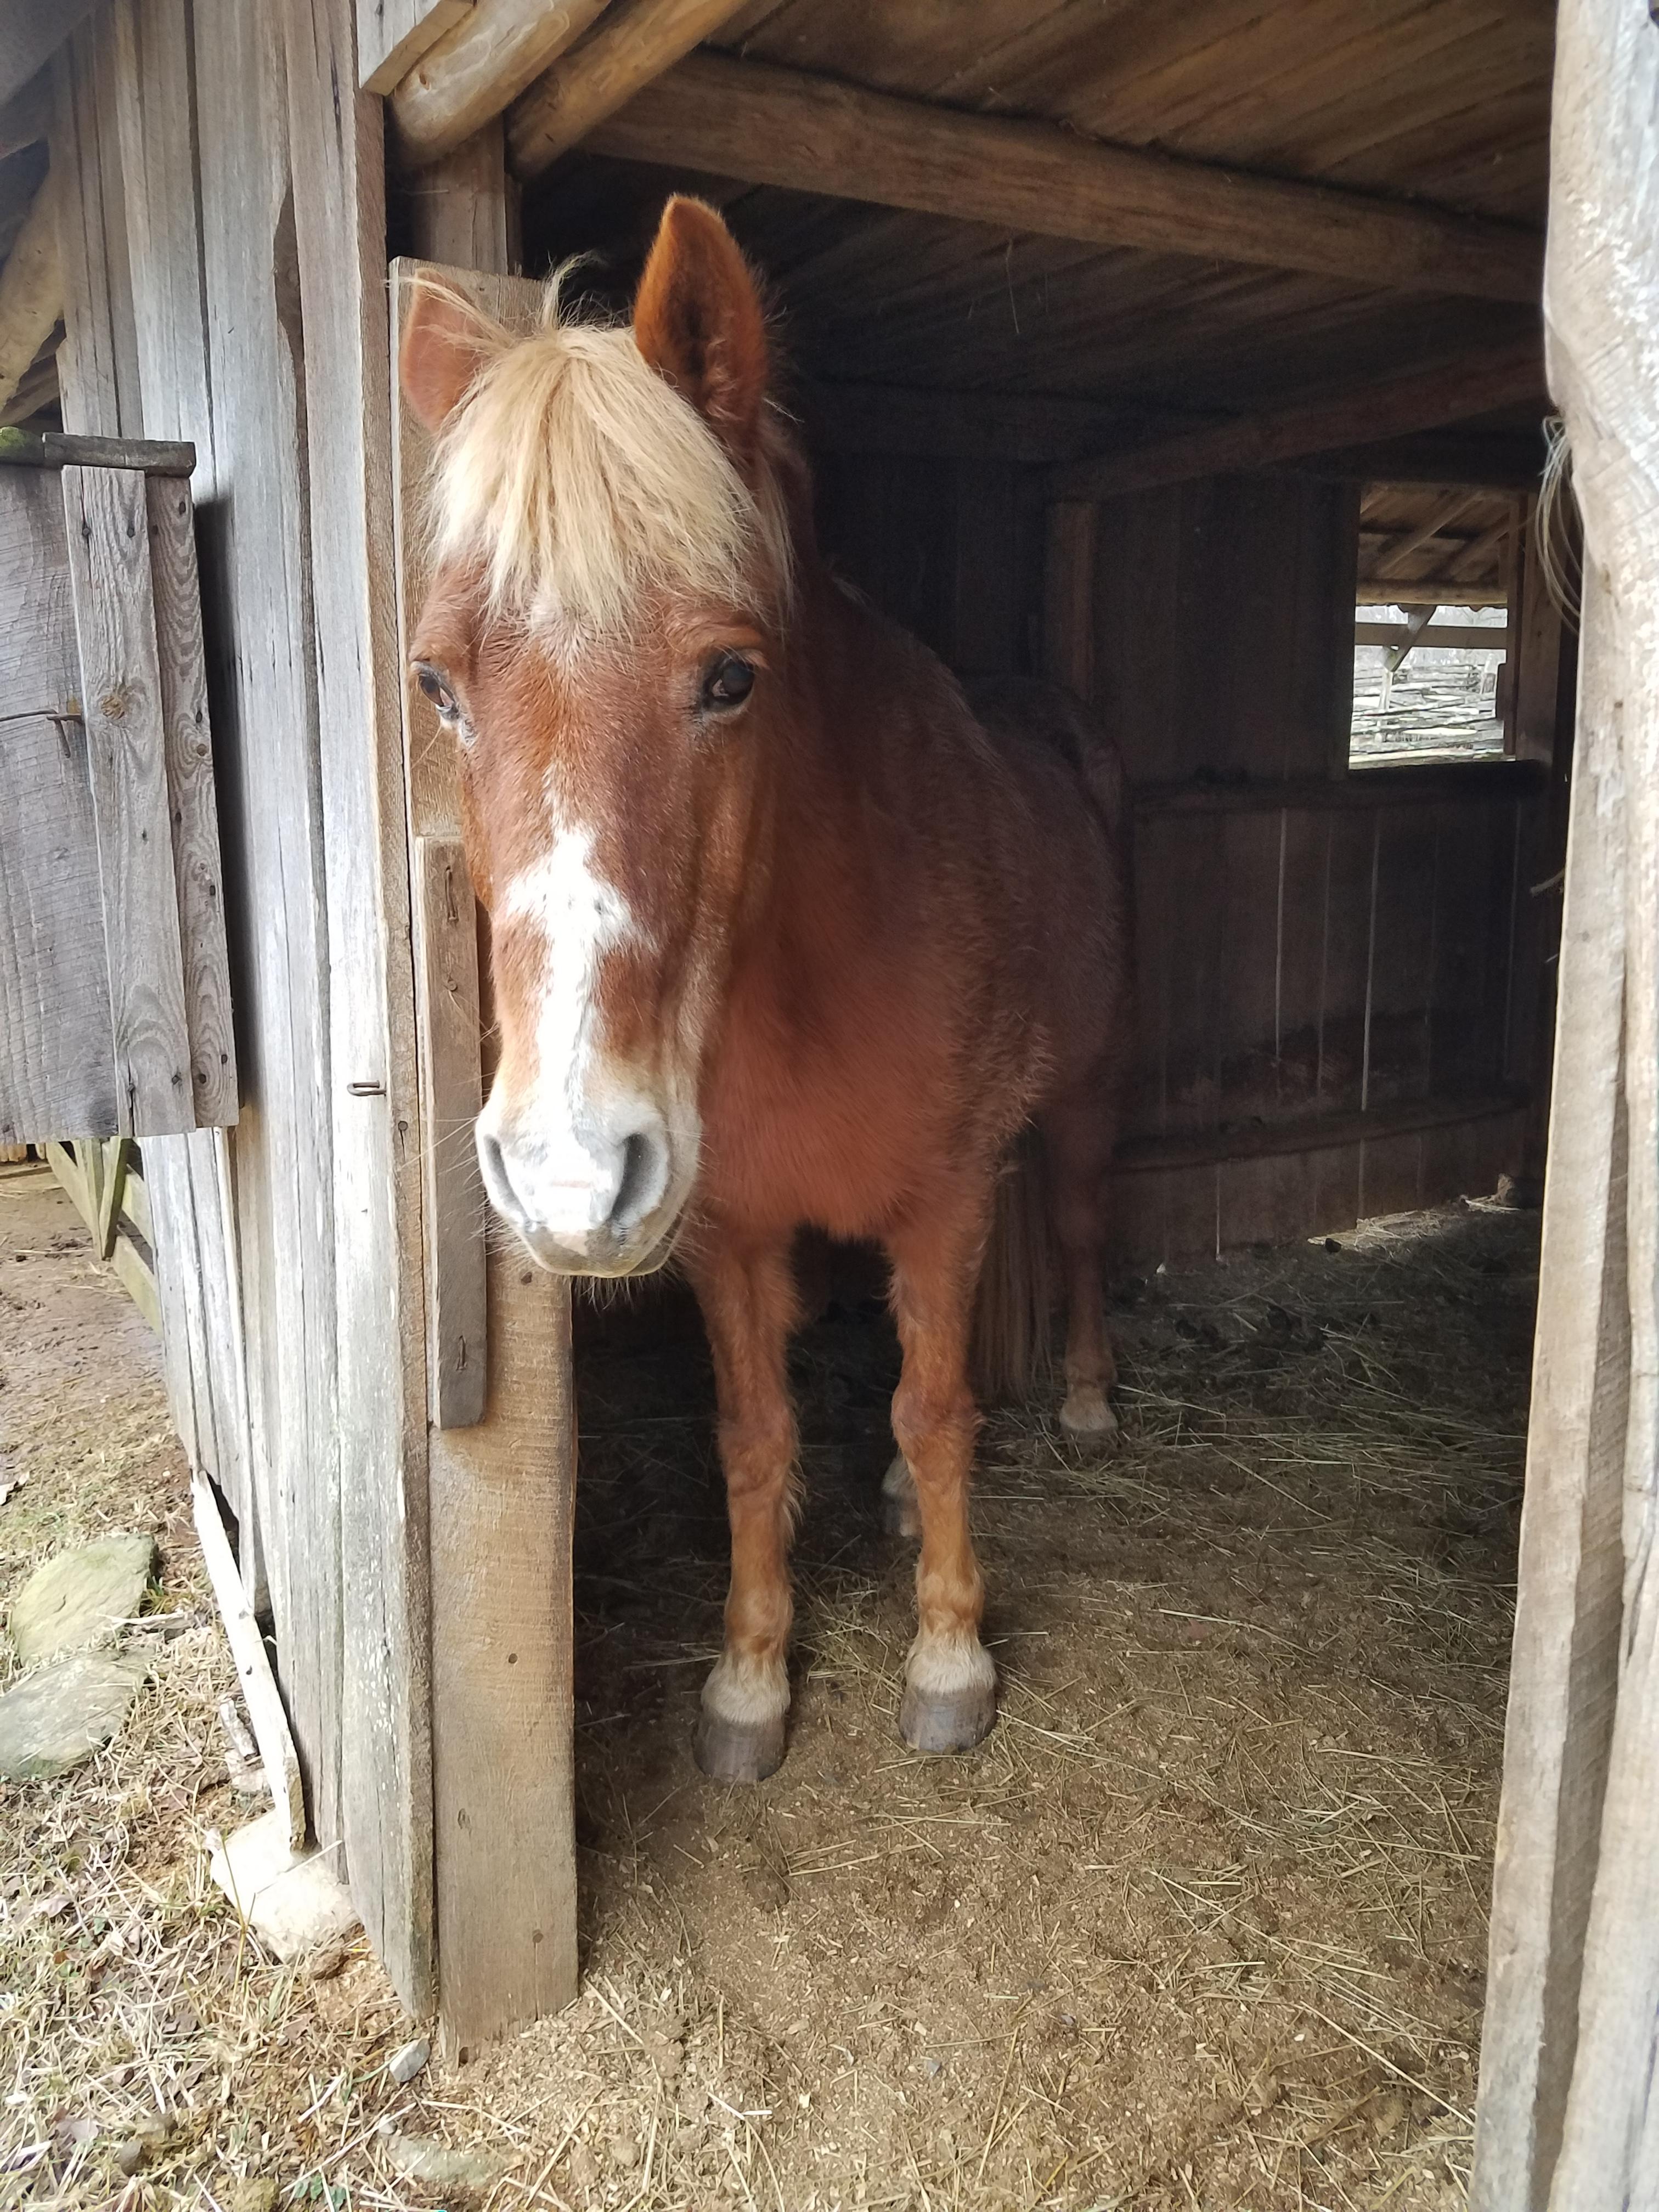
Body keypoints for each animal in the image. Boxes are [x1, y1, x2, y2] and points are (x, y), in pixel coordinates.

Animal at [396, 199, 1141, 1787]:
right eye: (436, 685)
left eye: (731, 677)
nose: (566, 1170)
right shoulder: (730, 1231)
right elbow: (755, 1435)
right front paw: (748, 1681)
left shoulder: (942, 1194)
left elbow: (935, 1406)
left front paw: (950, 1657)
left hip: (1087, 1103)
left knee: (1076, 1232)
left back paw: (1088, 1398)